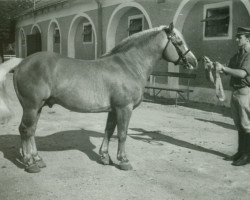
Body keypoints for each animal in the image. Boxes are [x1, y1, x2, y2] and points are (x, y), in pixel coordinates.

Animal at [0, 22, 197, 173]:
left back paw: (38, 159)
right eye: (179, 41)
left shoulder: (114, 110)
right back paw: (30, 163)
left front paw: (105, 157)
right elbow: (122, 134)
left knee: (31, 131)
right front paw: (123, 161)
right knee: (25, 130)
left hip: (38, 107)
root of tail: (22, 62)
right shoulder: (124, 108)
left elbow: (109, 130)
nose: (193, 62)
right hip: (31, 107)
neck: (128, 65)